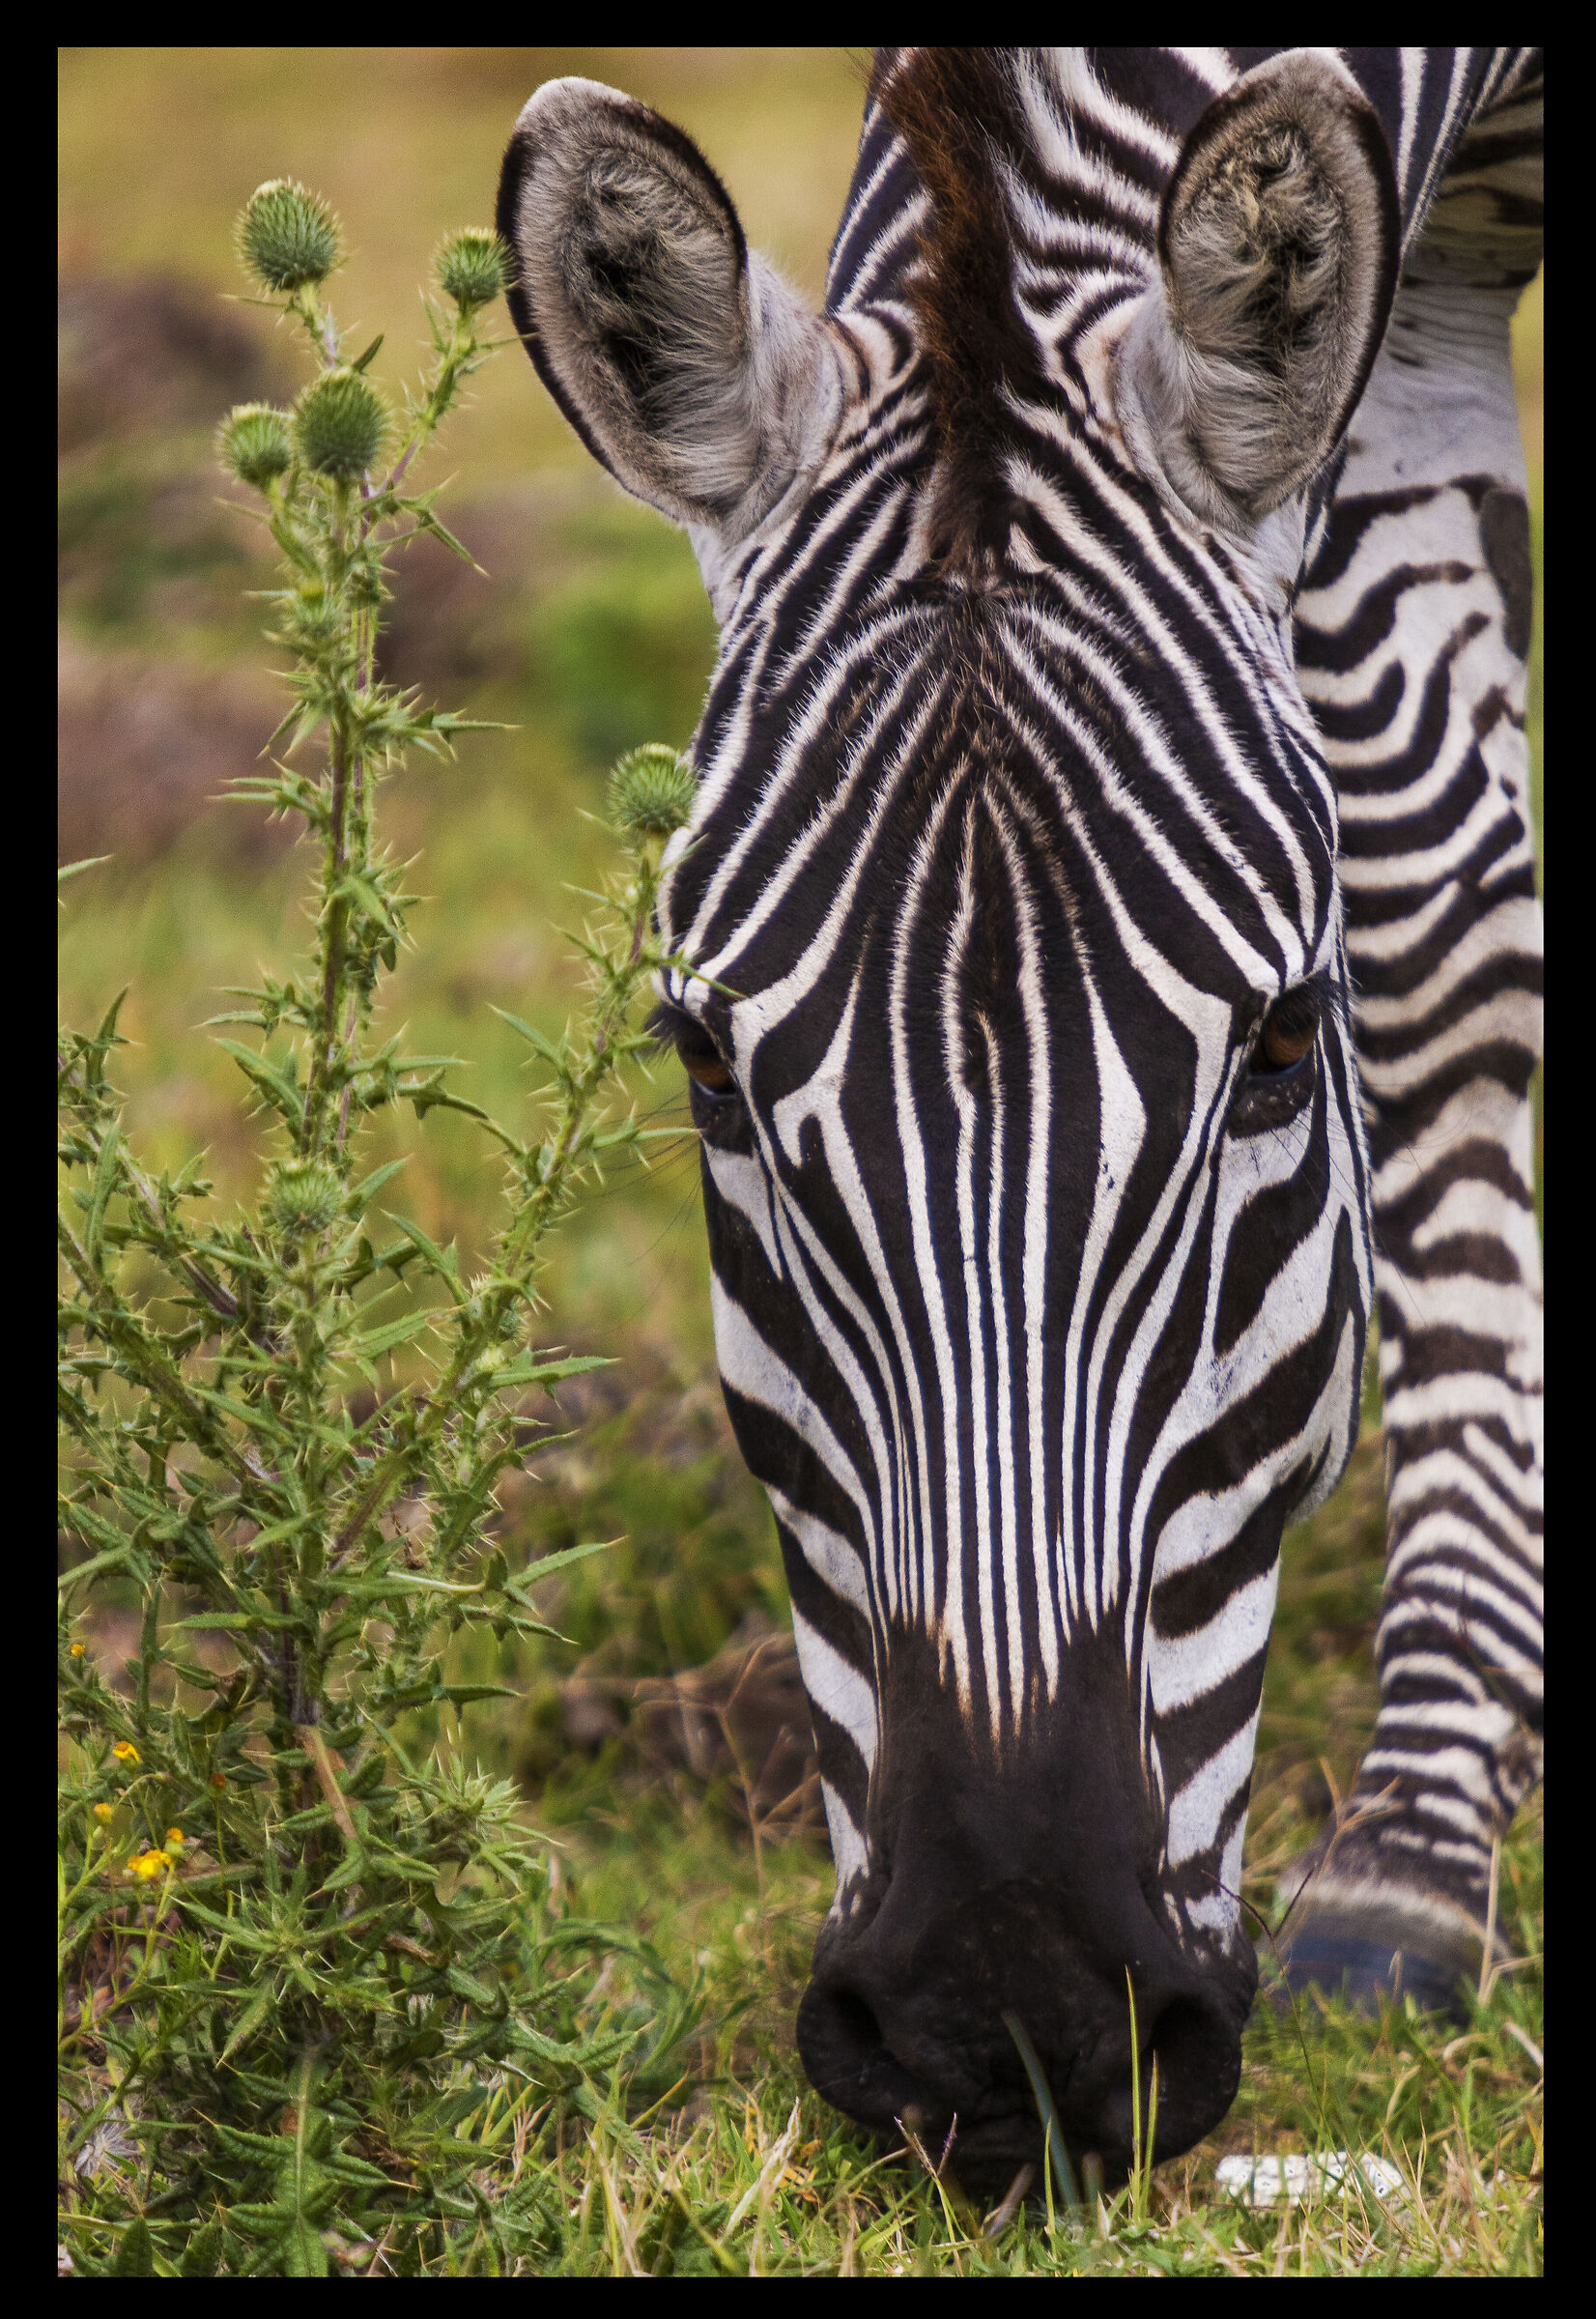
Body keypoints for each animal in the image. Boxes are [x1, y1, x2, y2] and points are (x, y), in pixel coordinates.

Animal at [497, 47, 1543, 2184]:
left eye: (1283, 1046)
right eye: (703, 1060)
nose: (1008, 2026)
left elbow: (1443, 911)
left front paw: (1417, 1848)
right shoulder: (1418, 302)